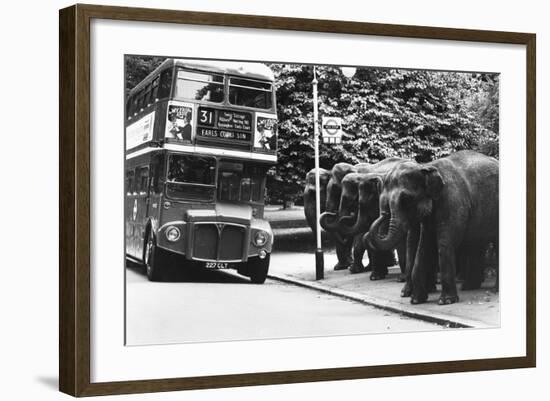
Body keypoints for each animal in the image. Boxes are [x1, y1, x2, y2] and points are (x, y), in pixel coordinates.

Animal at [366, 150, 500, 304]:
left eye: (406, 199)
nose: (383, 214)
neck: (426, 167)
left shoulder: (452, 201)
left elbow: (445, 242)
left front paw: (445, 301)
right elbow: (424, 245)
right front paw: (415, 300)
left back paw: (493, 290)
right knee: (476, 243)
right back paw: (469, 287)